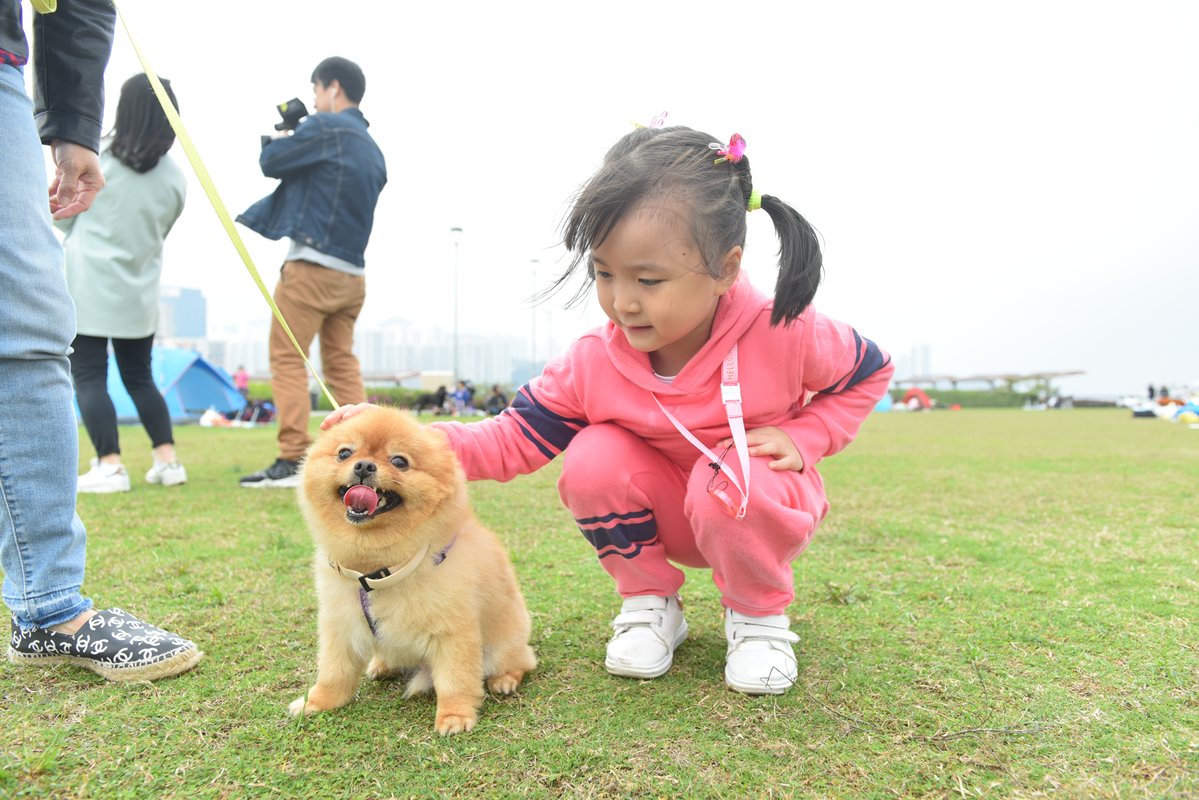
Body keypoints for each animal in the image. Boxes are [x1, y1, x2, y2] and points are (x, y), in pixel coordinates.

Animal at [287, 410, 537, 734]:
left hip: (503, 645)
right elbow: (333, 672)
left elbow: (456, 679)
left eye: (399, 461)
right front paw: (316, 702)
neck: (376, 570)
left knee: (522, 661)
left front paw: (454, 716)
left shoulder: (452, 631)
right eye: (344, 453)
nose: (364, 465)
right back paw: (381, 666)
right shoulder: (340, 625)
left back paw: (504, 680)